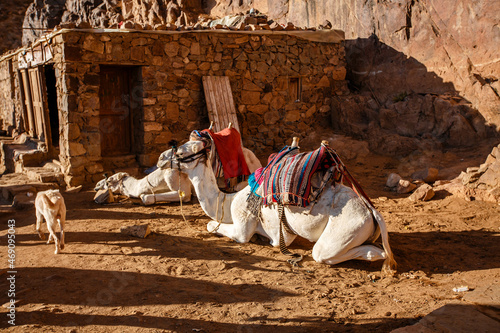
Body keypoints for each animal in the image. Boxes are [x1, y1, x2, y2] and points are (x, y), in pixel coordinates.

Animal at [173, 139, 398, 272]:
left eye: (180, 153)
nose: (166, 158)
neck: (227, 202)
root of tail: (372, 212)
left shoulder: (246, 224)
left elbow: (213, 225)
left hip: (346, 229)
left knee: (324, 253)